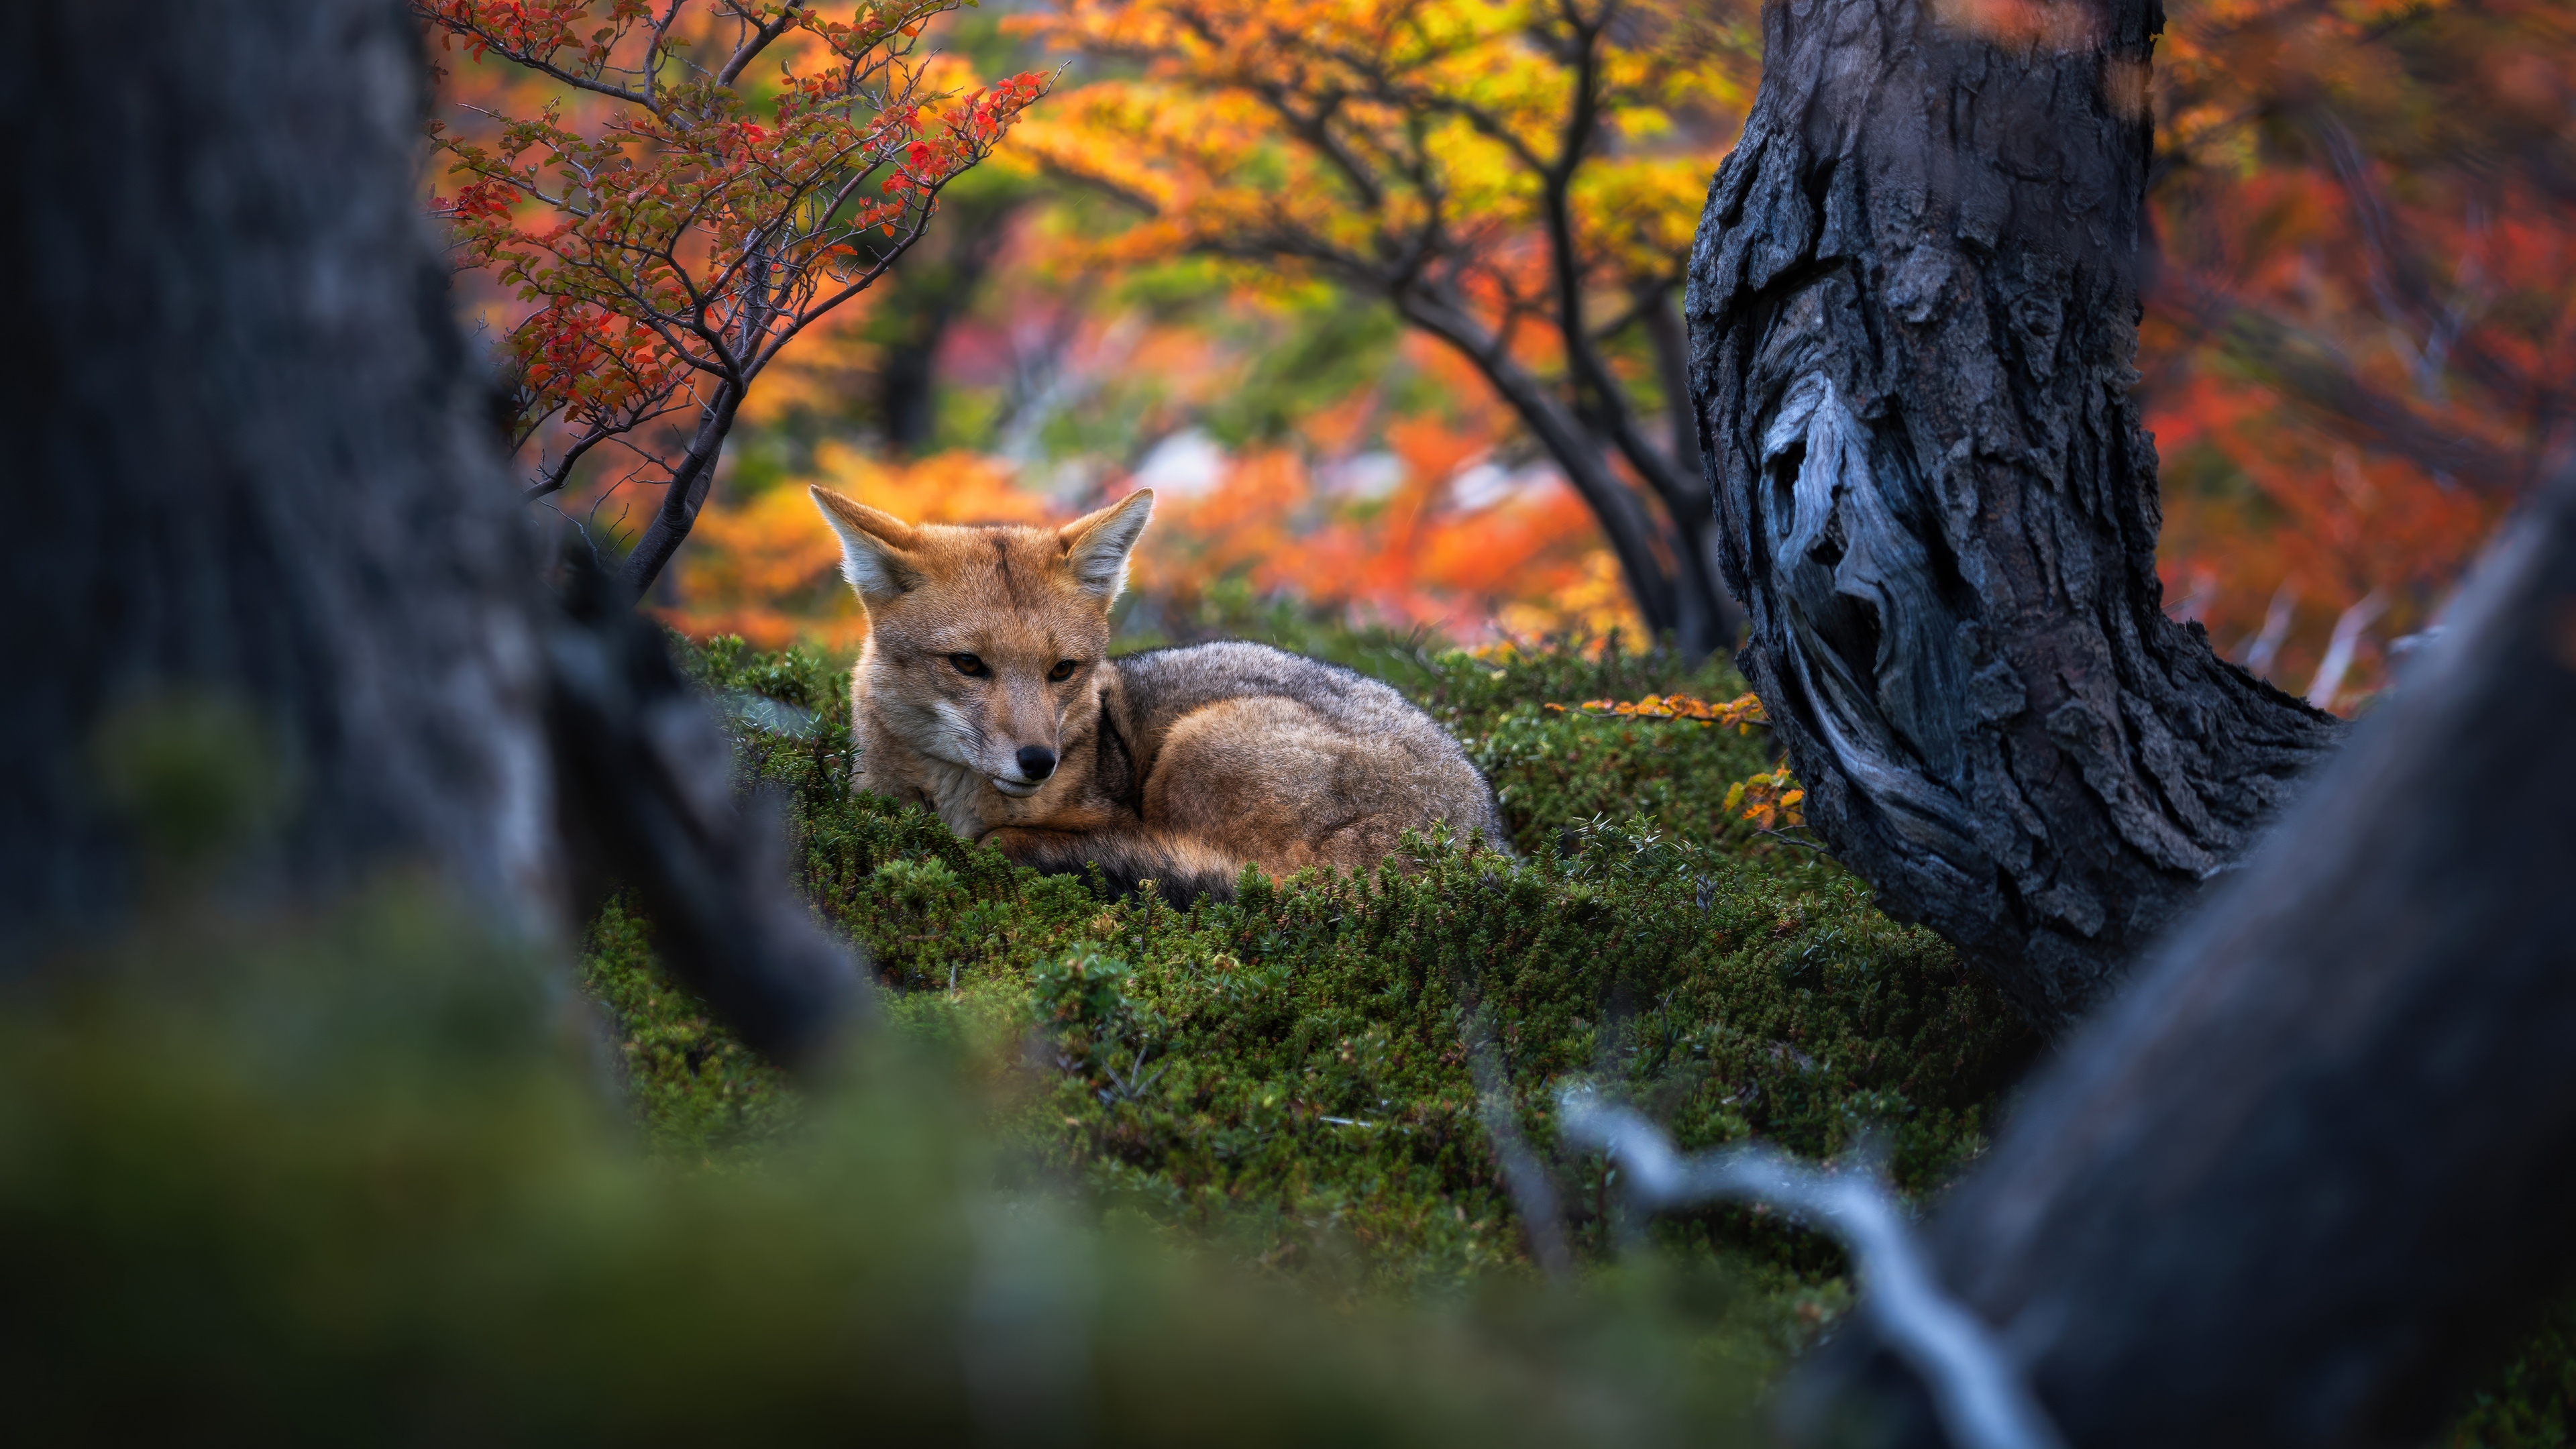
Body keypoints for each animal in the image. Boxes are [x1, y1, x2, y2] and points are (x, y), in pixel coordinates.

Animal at [807, 483, 1511, 901]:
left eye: (1063, 670)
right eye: (967, 664)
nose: (1038, 762)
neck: (957, 806)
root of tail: (1489, 838)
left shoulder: (1108, 817)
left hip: (1195, 746)